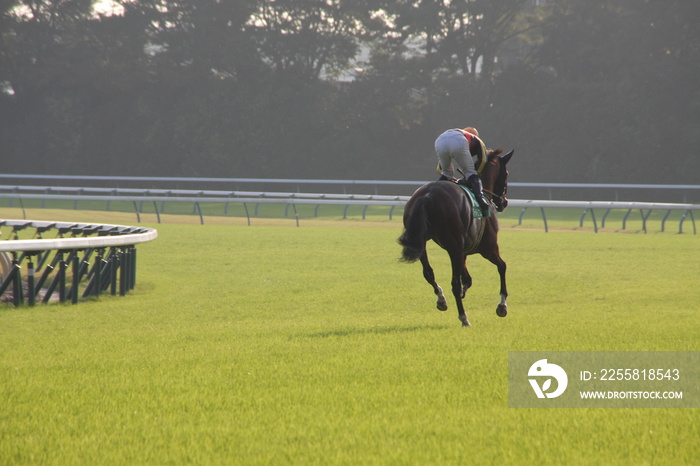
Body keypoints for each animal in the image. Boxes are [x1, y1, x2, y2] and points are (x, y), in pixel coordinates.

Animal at [400, 149, 516, 328]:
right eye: (507, 173)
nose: (504, 202)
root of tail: (427, 195)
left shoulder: (463, 252)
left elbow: (467, 279)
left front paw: (462, 292)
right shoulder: (488, 248)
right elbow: (502, 266)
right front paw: (502, 306)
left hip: (422, 243)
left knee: (429, 273)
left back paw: (441, 299)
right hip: (454, 247)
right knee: (454, 283)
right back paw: (463, 317)